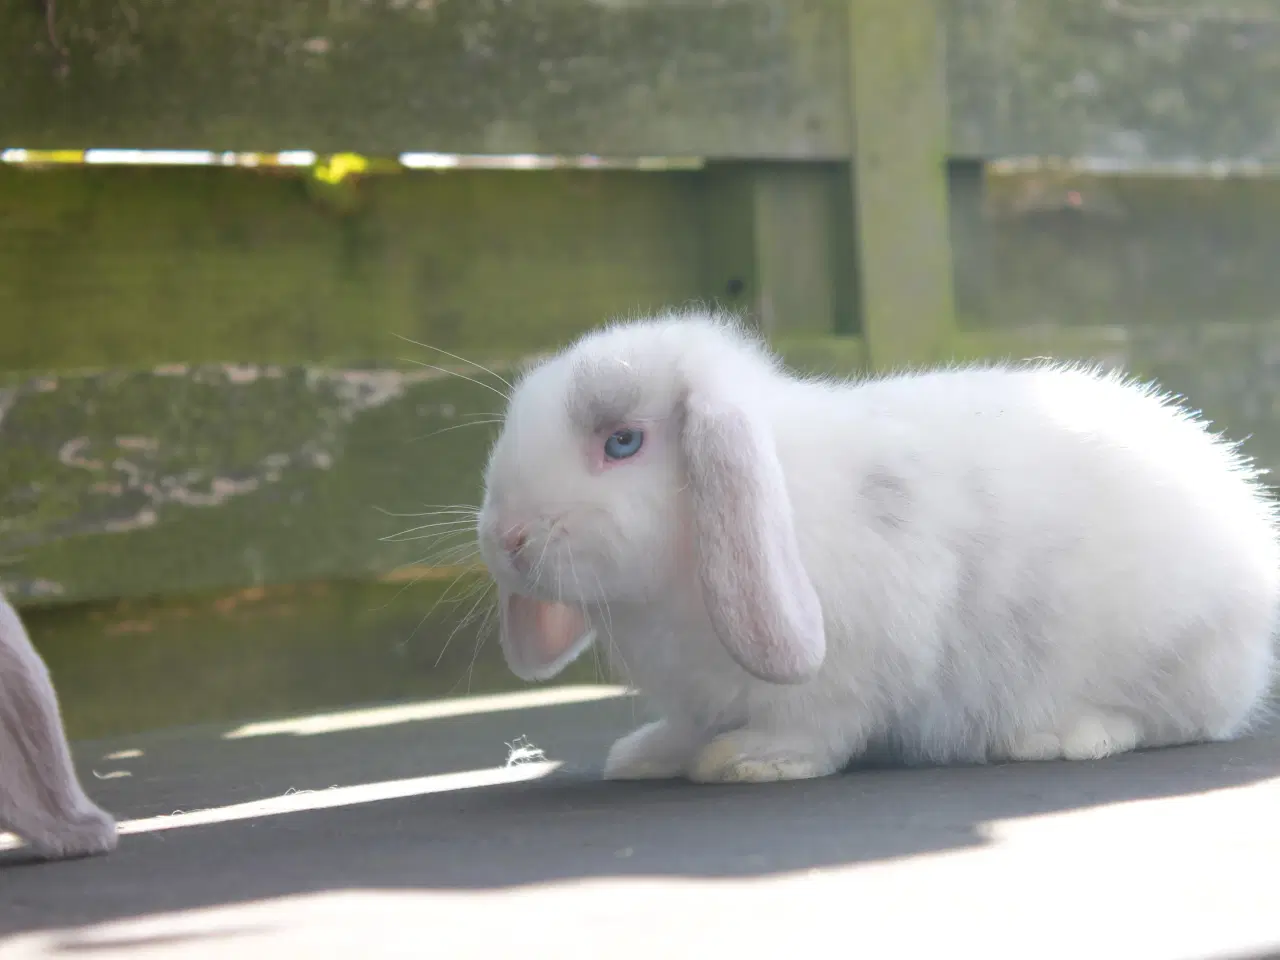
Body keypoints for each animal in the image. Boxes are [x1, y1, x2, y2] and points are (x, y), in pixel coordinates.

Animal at [476, 312, 1274, 783]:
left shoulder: (849, 672)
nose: (505, 538)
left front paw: (748, 759)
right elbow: (684, 727)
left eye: (621, 442)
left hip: (1171, 651)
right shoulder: (697, 695)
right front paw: (646, 756)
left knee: (1176, 722)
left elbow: (818, 726)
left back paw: (1062, 734)